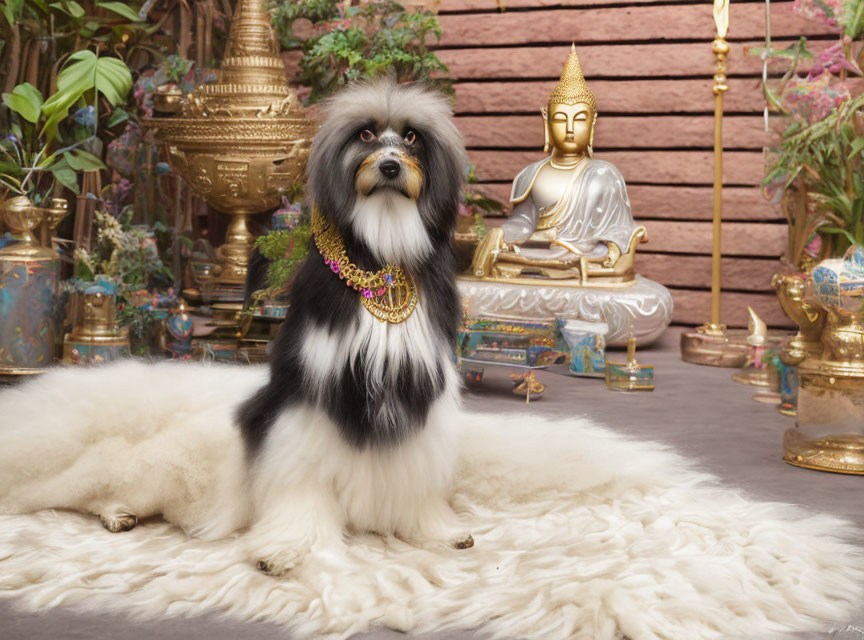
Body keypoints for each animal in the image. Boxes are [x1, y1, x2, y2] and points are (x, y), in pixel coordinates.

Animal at [0, 80, 472, 576]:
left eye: (412, 137)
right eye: (365, 134)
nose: (389, 165)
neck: (382, 251)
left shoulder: (418, 396)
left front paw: (434, 528)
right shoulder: (304, 399)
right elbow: (303, 480)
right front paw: (288, 548)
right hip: (135, 467)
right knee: (81, 491)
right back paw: (116, 512)